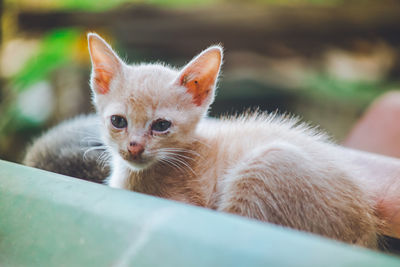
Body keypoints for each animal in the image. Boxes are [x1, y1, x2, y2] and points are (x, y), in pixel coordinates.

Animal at [83, 33, 378, 249]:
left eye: (161, 126)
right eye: (118, 121)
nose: (134, 146)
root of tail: (364, 227)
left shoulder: (187, 200)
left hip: (268, 163)